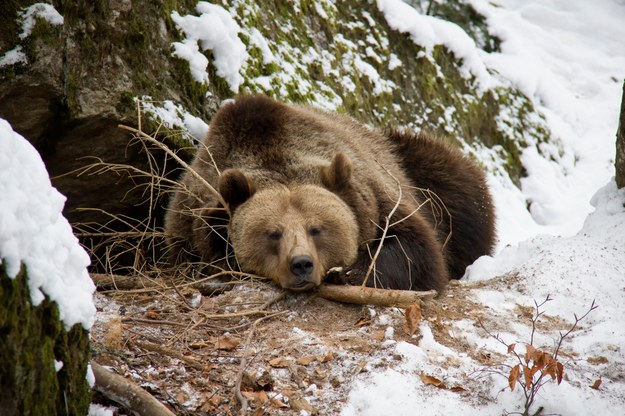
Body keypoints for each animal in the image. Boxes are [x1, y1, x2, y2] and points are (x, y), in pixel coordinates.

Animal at [163, 96, 494, 294]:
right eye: (273, 233)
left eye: (317, 229)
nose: (301, 264)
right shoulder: (190, 221)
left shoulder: (379, 199)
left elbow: (415, 251)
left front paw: (348, 272)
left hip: (423, 172)